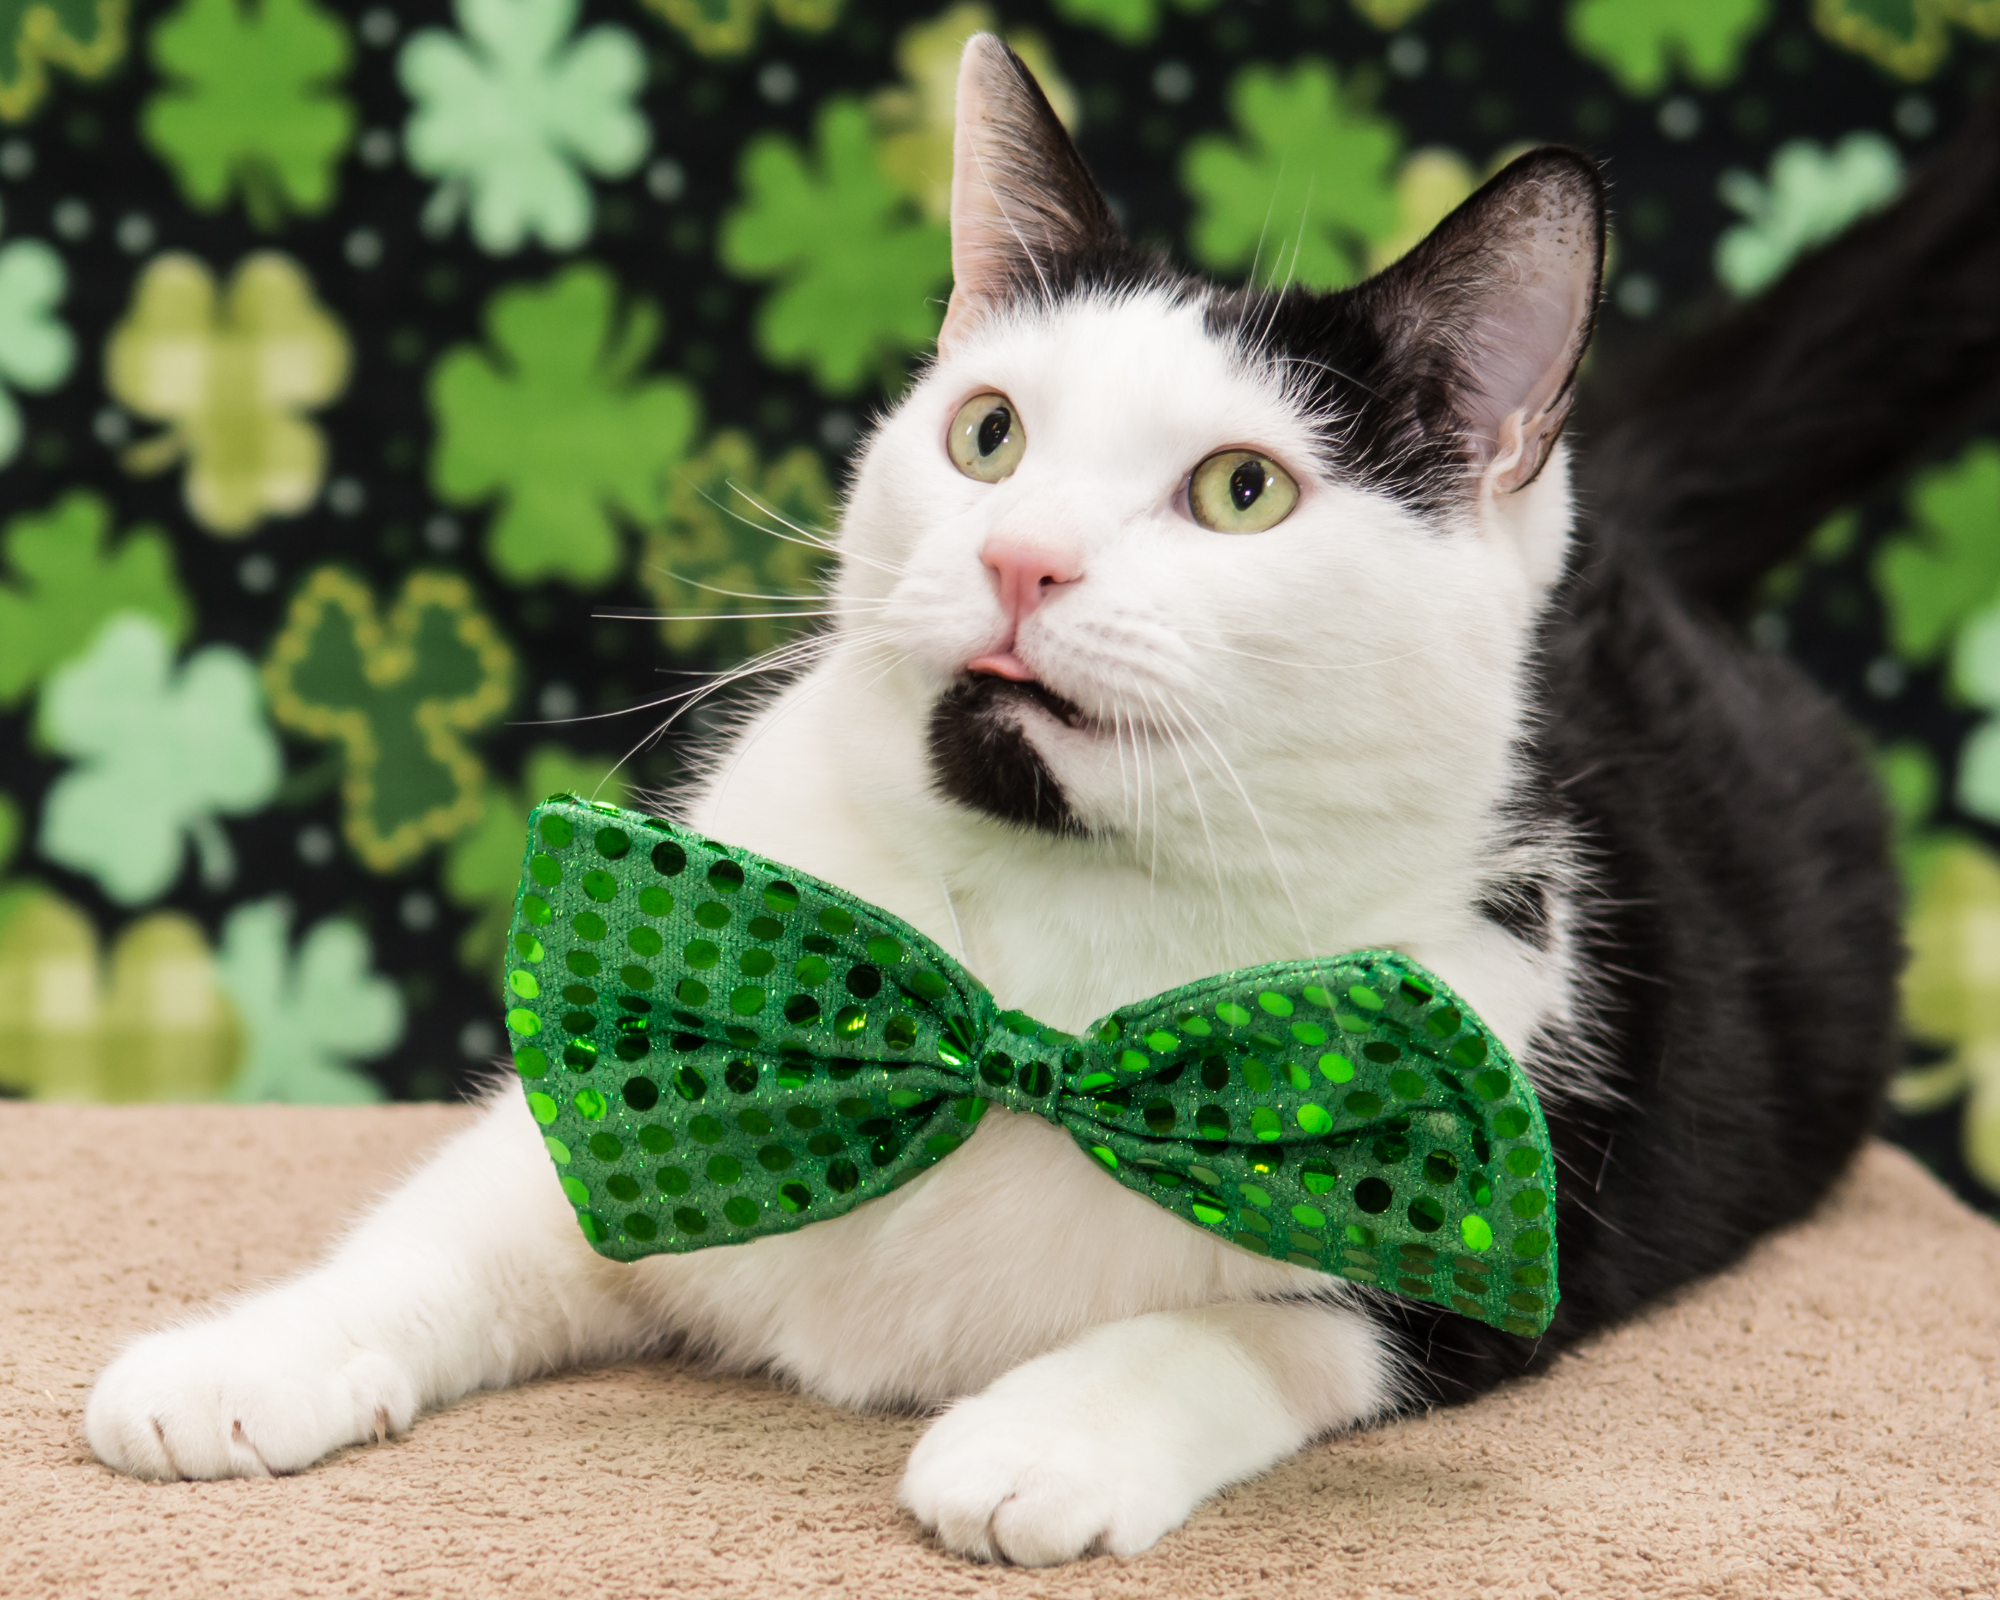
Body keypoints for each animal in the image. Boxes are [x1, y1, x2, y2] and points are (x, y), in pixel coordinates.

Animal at [82, 34, 2000, 1560]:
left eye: (1242, 491)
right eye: (988, 435)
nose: (1020, 557)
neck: (1037, 943)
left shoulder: (1504, 1205)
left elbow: (1270, 1321)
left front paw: (1041, 1434)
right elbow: (474, 1215)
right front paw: (249, 1353)